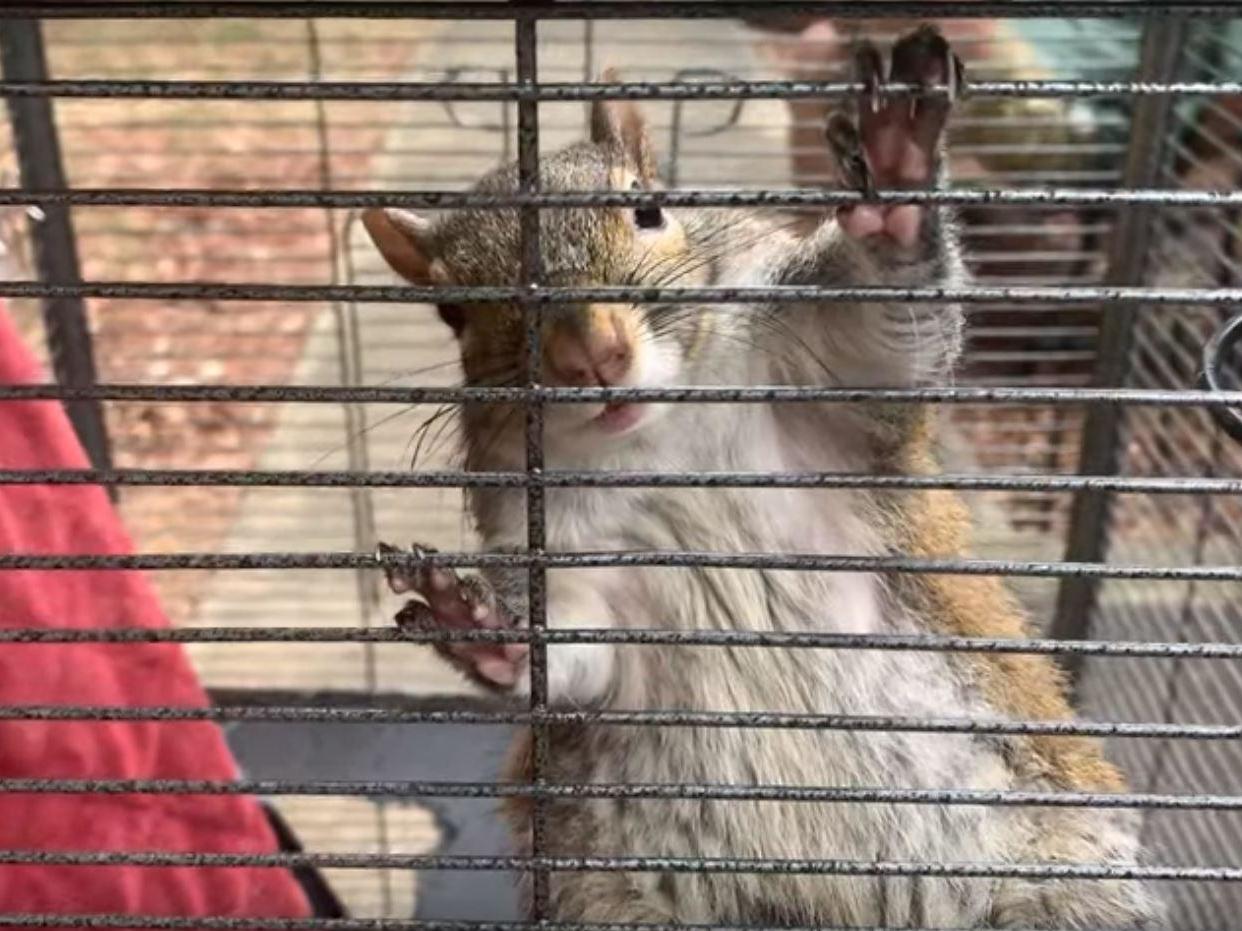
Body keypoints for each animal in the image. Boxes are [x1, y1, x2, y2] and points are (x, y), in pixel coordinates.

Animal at [362, 27, 1165, 930]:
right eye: (454, 312)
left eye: (649, 208)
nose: (590, 354)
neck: (660, 446)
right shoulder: (577, 564)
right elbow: (571, 644)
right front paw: (475, 616)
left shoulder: (830, 394)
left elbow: (877, 335)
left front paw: (895, 179)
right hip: (612, 890)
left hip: (1058, 870)